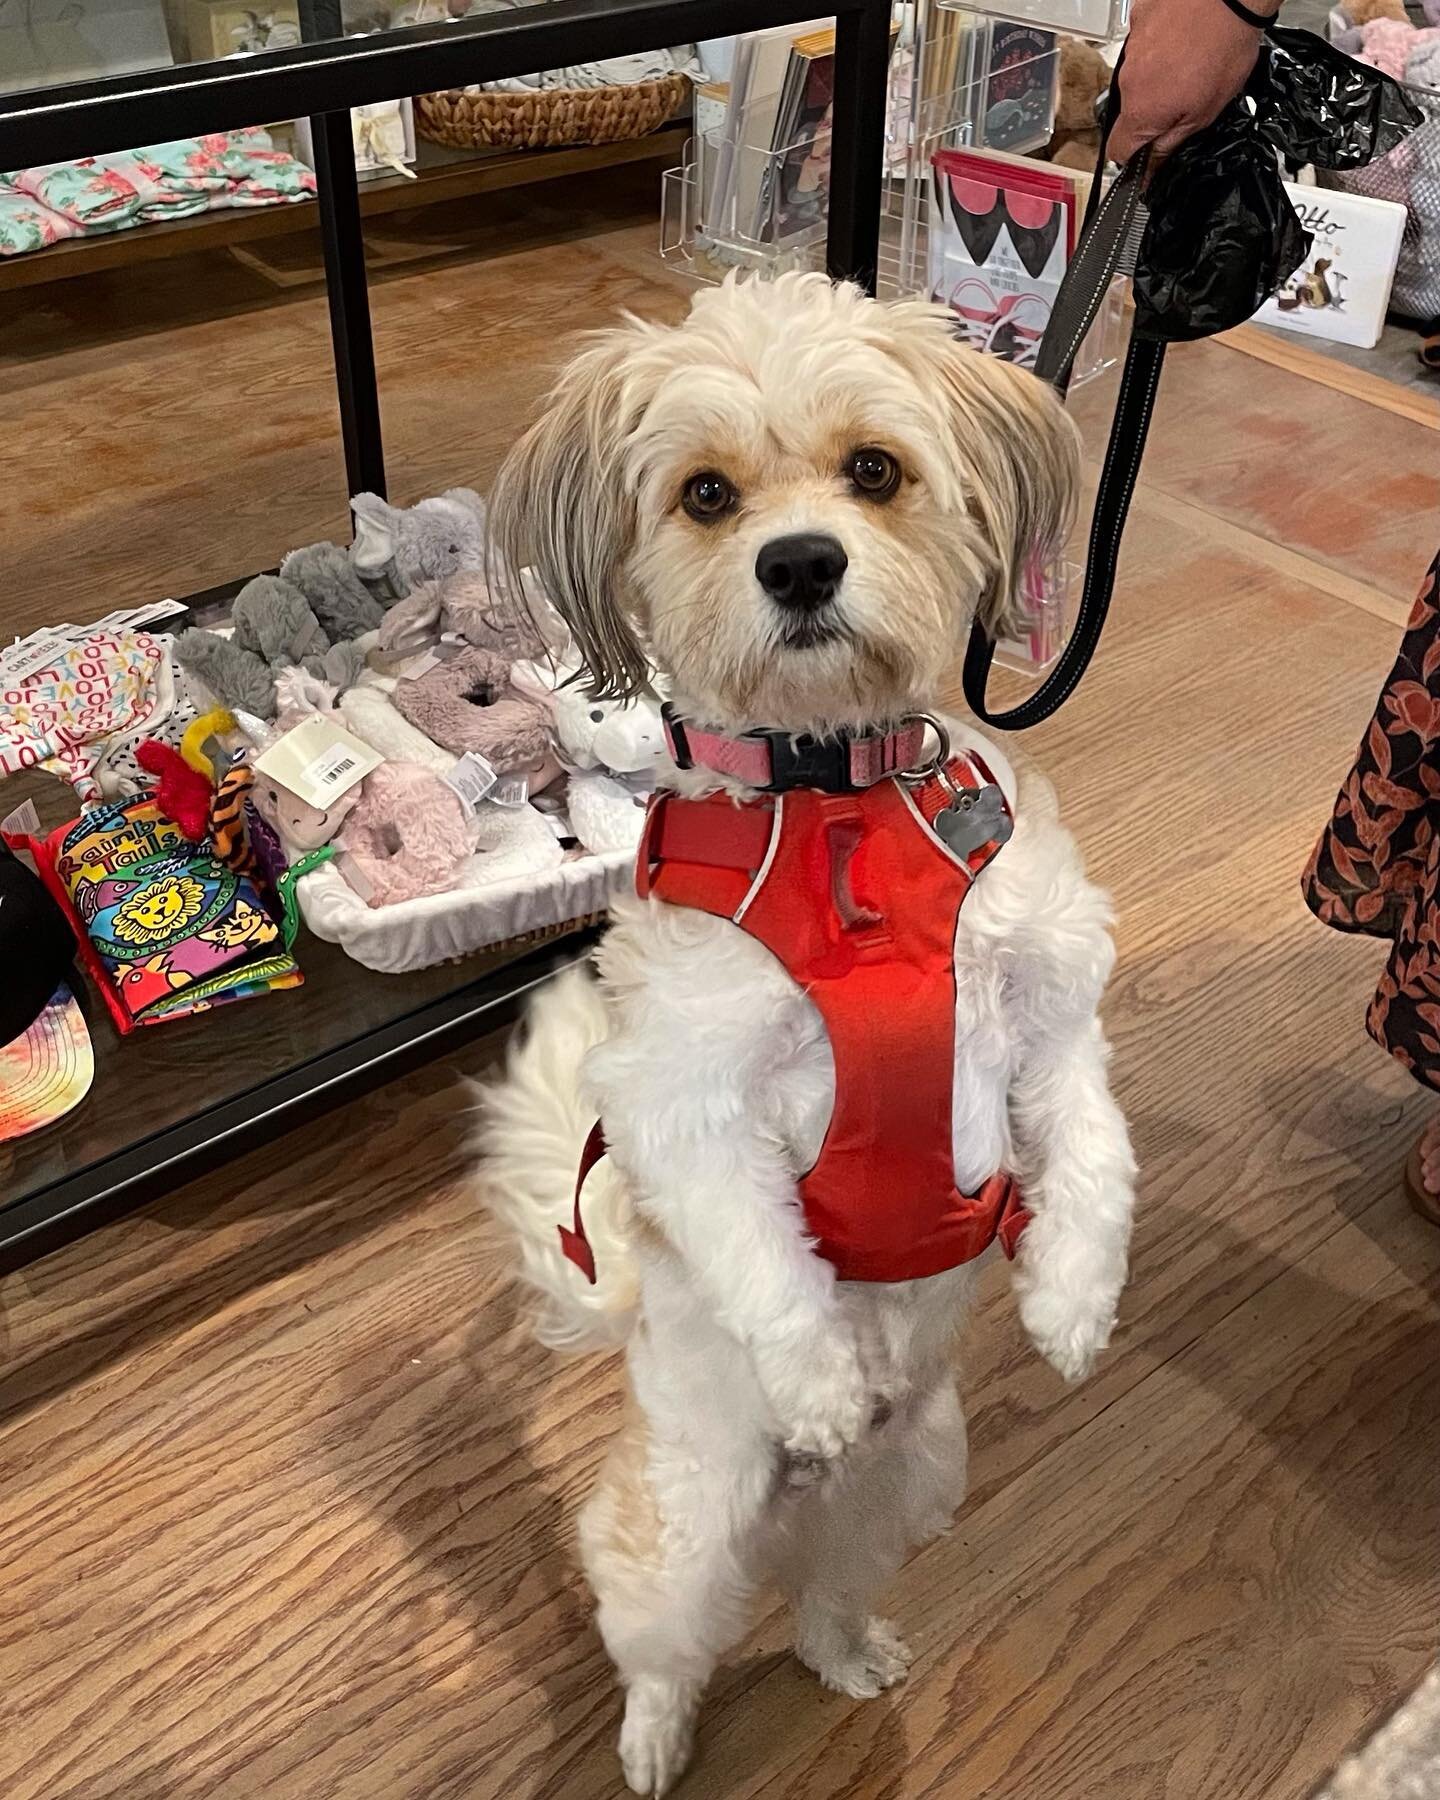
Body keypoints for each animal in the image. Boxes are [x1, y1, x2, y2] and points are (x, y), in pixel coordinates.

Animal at [478, 273, 1130, 1792]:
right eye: (708, 495)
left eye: (874, 471)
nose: (800, 566)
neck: (836, 800)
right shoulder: (685, 1099)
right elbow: (762, 1252)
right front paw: (821, 1380)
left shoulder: (1050, 1008)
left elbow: (1093, 1155)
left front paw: (1072, 1302)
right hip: (683, 1537)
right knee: (664, 1644)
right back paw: (655, 1740)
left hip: (919, 1482)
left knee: (828, 1591)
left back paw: (847, 1654)